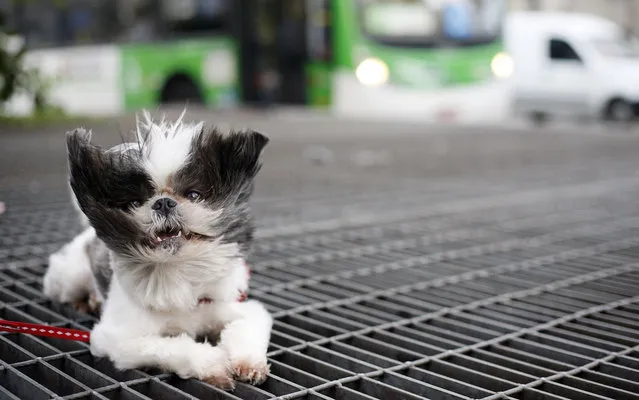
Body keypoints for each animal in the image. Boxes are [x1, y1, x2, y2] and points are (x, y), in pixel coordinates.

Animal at [42, 111, 272, 390]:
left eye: (194, 195)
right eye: (134, 203)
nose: (163, 202)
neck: (178, 272)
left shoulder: (237, 308)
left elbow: (246, 327)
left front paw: (248, 362)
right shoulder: (116, 339)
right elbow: (173, 347)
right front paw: (212, 364)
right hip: (71, 276)